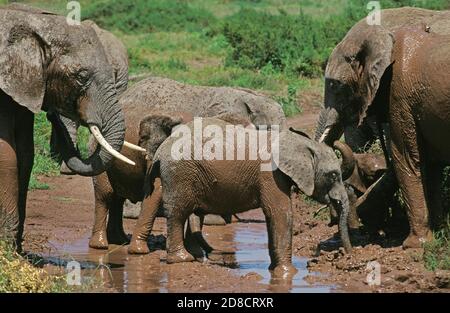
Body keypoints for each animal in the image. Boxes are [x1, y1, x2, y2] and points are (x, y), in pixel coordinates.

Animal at [0, 6, 132, 249]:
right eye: (81, 76)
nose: (52, 115)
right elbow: (6, 154)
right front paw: (8, 248)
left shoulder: (27, 83)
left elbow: (25, 154)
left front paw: (15, 249)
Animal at [89, 76, 286, 249]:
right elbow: (157, 190)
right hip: (100, 146)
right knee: (106, 195)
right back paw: (102, 245)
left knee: (117, 198)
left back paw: (119, 240)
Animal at [126, 116, 352, 274]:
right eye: (333, 175)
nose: (347, 256)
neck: (300, 142)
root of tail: (162, 149)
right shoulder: (270, 173)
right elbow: (280, 213)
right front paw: (288, 272)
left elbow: (273, 216)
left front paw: (275, 269)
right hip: (181, 172)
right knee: (178, 212)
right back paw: (183, 259)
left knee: (162, 202)